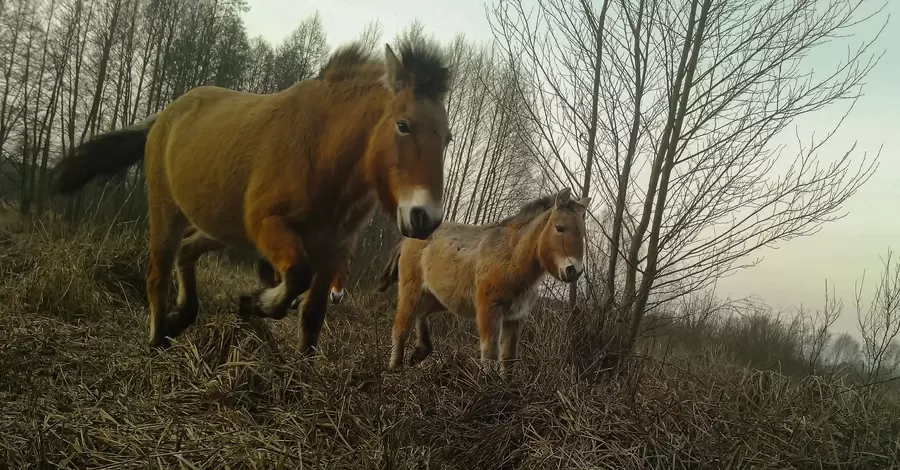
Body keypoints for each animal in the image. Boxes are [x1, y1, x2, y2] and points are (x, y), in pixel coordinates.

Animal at [51, 40, 450, 354]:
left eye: (446, 138)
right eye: (403, 125)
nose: (425, 218)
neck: (322, 153)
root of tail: (166, 114)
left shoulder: (332, 249)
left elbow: (312, 317)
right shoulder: (267, 225)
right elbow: (295, 279)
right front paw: (252, 302)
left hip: (222, 227)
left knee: (187, 252)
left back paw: (183, 317)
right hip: (167, 210)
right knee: (158, 274)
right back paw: (158, 337)